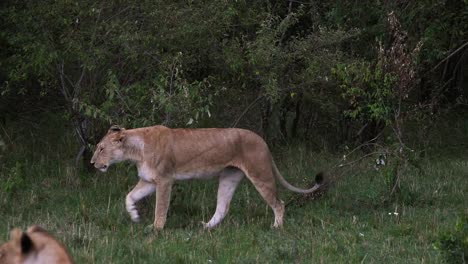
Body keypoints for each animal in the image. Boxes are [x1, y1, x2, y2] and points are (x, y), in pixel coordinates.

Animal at [90, 125, 324, 230]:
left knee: (279, 203)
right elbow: (129, 196)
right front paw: (135, 215)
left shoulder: (165, 179)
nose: (92, 163)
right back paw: (206, 227)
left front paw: (156, 228)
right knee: (222, 207)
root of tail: (262, 140)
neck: (136, 151)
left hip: (260, 173)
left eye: (101, 148)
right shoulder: (149, 180)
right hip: (229, 177)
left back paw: (276, 227)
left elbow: (160, 207)